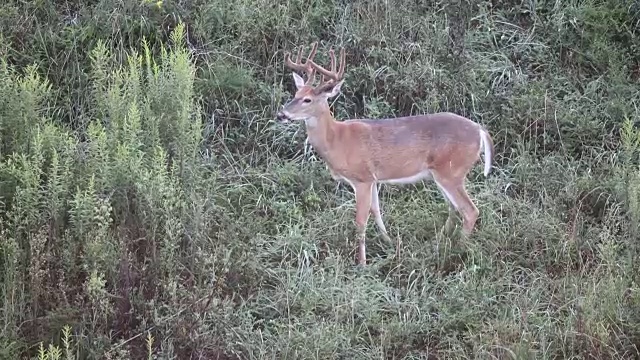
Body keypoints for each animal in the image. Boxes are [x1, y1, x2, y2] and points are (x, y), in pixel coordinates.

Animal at [276, 43, 496, 268]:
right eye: (295, 92)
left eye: (307, 99)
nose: (281, 114)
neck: (337, 140)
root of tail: (480, 130)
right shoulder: (373, 179)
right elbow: (376, 210)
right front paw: (389, 242)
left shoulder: (362, 178)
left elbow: (360, 220)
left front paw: (362, 263)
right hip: (442, 174)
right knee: (453, 208)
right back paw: (439, 242)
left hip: (452, 171)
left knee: (470, 210)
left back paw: (458, 250)